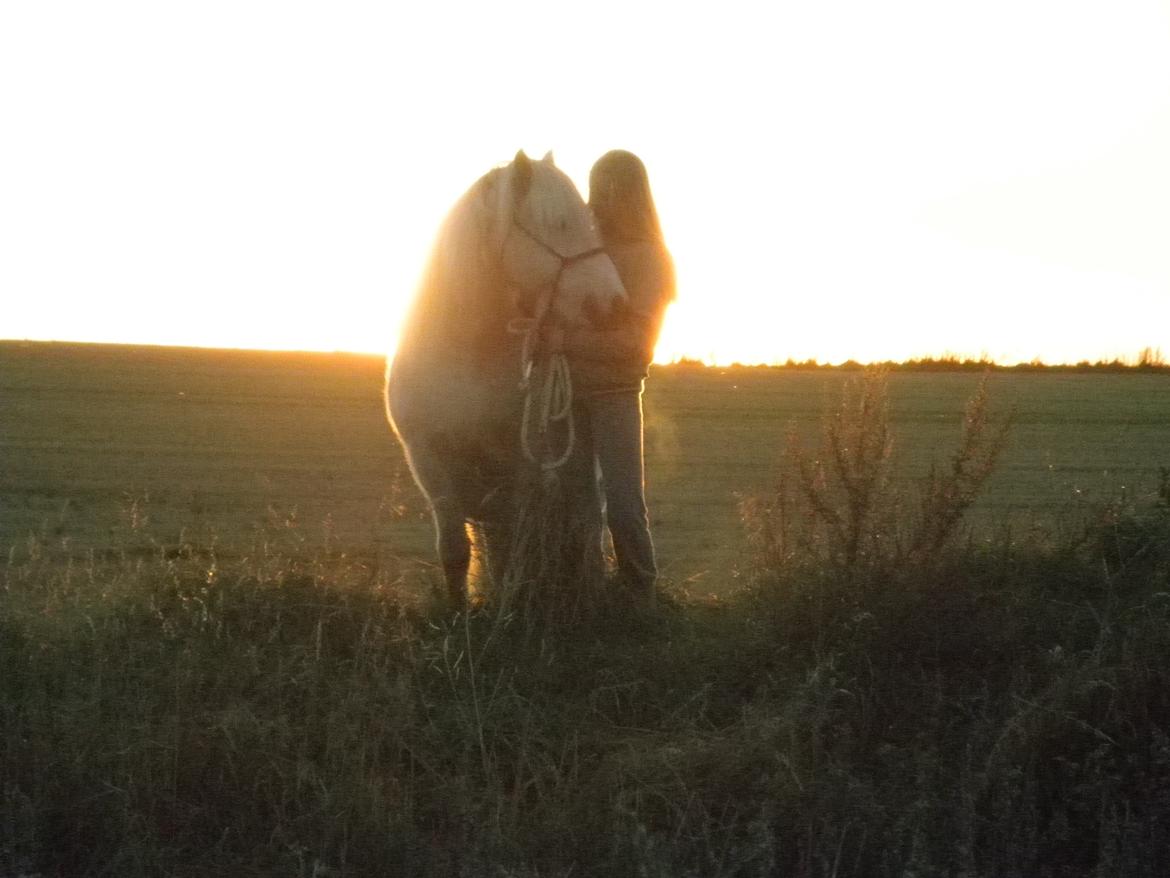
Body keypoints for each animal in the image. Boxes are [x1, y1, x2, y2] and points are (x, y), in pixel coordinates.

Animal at [383, 151, 627, 613]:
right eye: (560, 224)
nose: (616, 305)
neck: (469, 356)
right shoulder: (428, 460)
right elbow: (456, 550)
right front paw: (458, 610)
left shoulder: (523, 466)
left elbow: (519, 544)